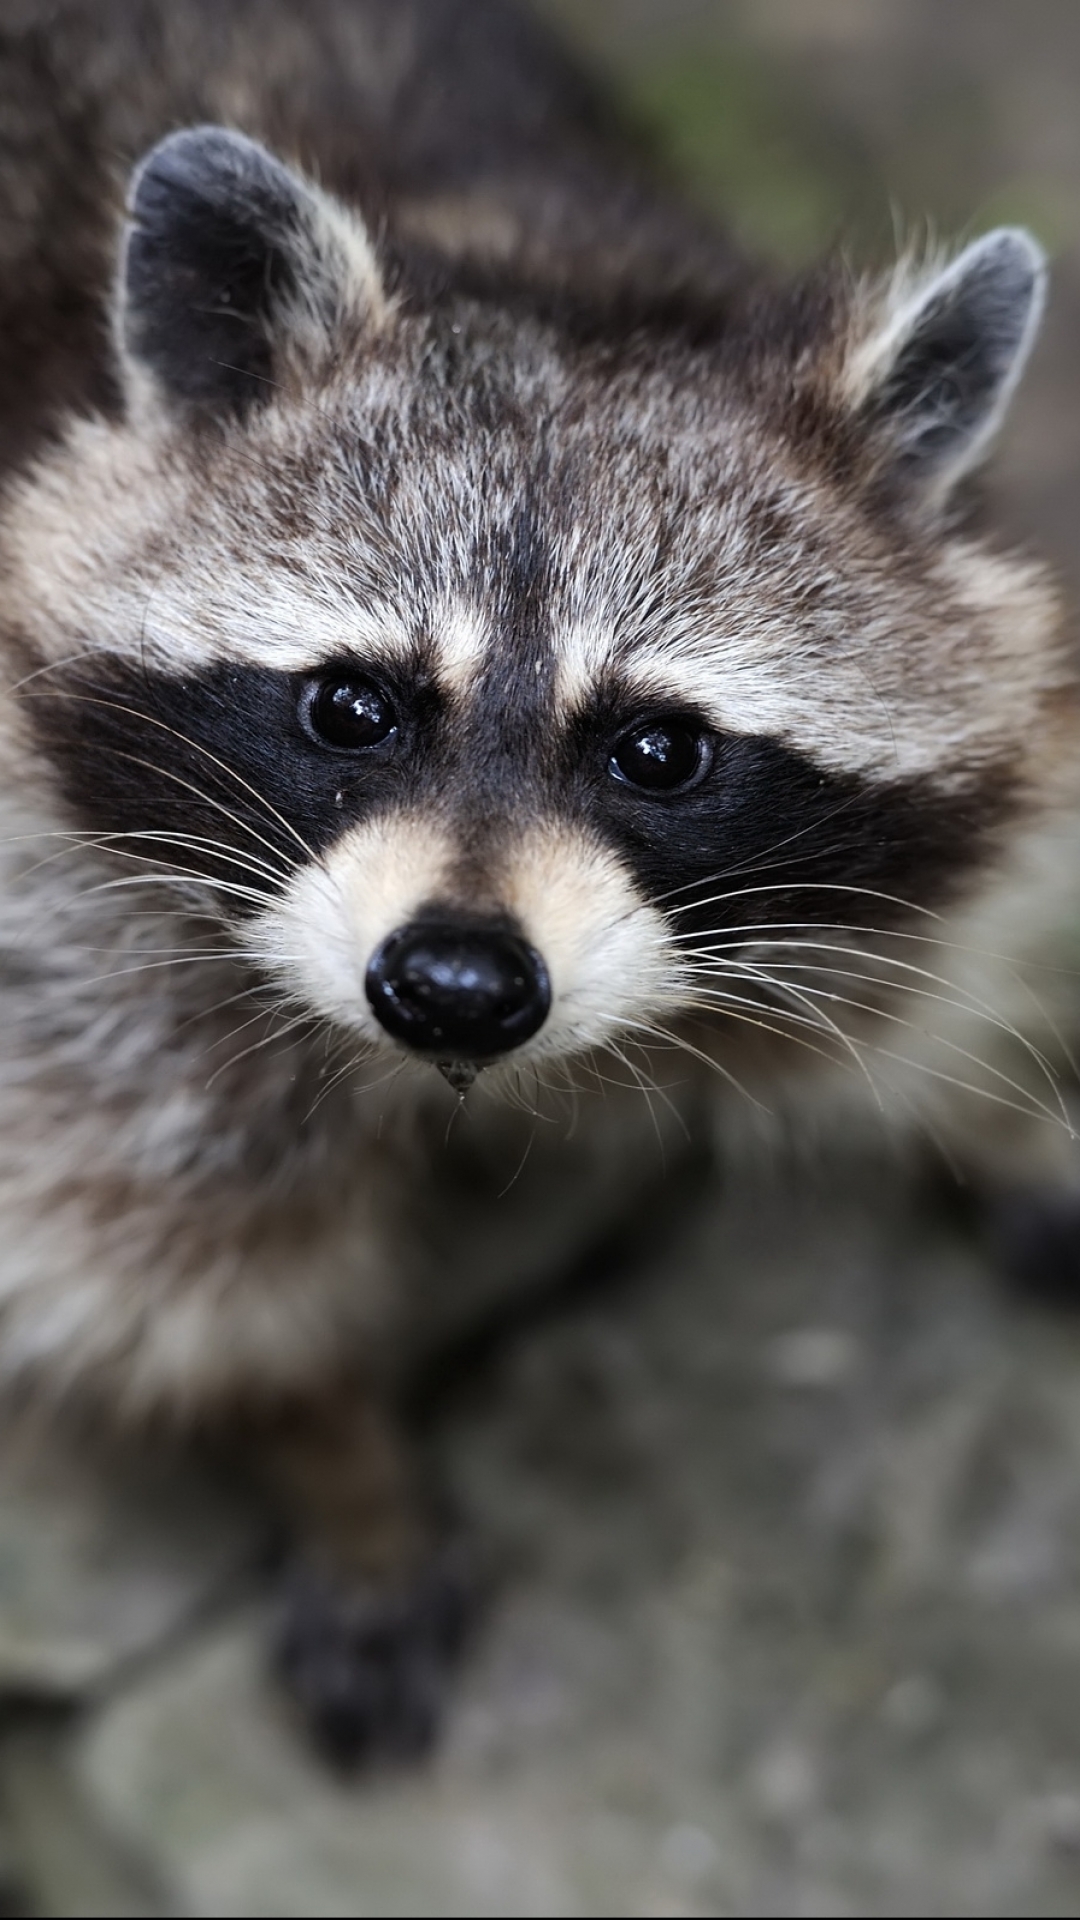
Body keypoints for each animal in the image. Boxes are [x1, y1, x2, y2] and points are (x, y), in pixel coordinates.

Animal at [0, 0, 1068, 1758]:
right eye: (350, 707)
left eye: (660, 750)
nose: (455, 986)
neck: (538, 256)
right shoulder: (55, 894)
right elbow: (174, 1253)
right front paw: (335, 1461)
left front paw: (996, 1108)